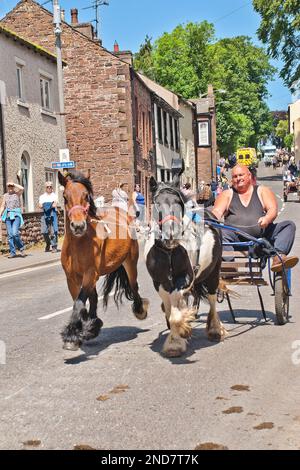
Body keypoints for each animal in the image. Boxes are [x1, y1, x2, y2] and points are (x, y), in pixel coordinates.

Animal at [58, 171, 148, 350]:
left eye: (86, 195)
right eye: (65, 196)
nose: (78, 226)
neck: (79, 243)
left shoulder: (90, 274)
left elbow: (79, 303)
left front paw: (72, 336)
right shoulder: (72, 279)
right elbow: (80, 302)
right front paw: (84, 330)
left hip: (130, 262)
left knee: (134, 285)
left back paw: (140, 310)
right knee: (93, 298)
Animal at [144, 175, 226, 356]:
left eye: (177, 202)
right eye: (157, 203)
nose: (171, 235)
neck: (168, 252)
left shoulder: (186, 277)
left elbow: (175, 306)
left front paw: (179, 336)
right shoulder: (159, 282)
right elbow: (169, 307)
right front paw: (178, 335)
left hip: (213, 272)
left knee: (211, 298)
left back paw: (215, 329)